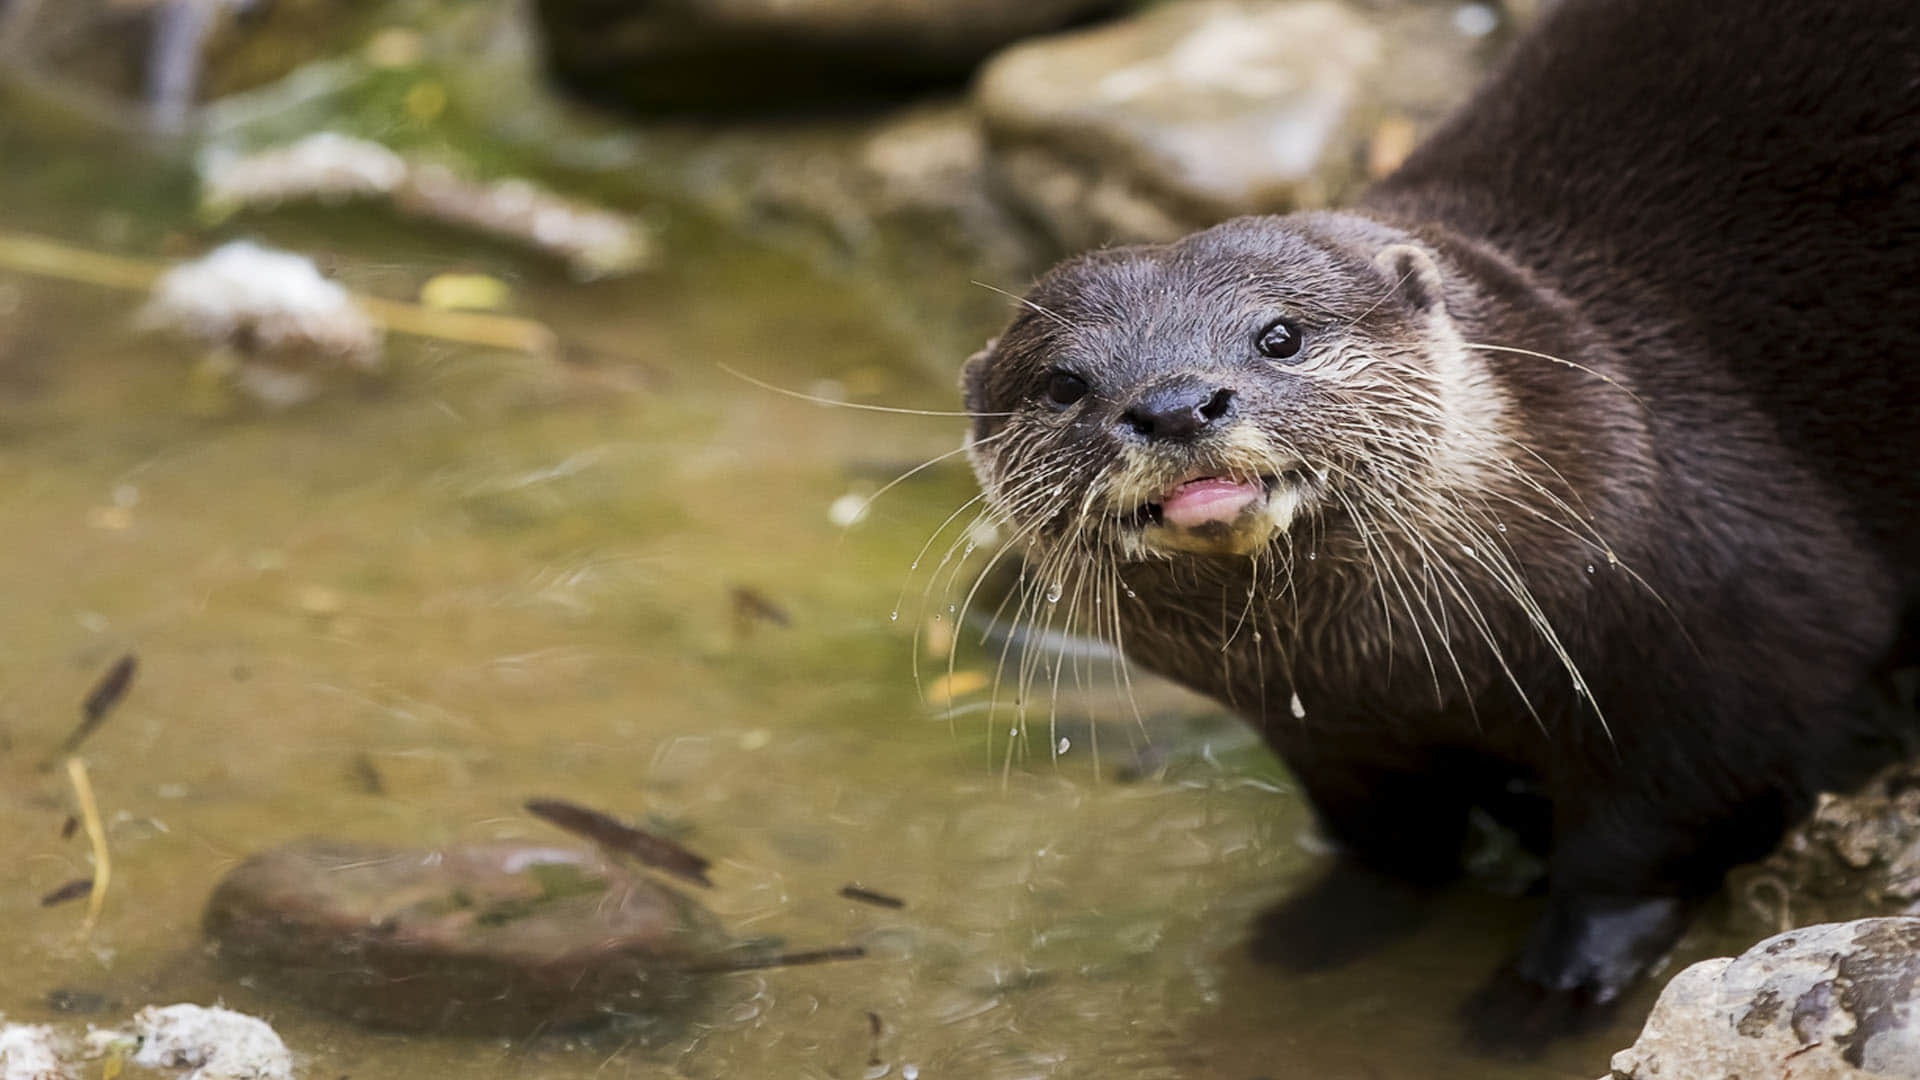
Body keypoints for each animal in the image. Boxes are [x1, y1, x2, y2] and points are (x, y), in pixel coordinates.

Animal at [960, 0, 1920, 1051]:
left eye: (1279, 335)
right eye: (1063, 384)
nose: (1174, 404)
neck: (1405, 675)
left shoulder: (1744, 643)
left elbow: (1650, 838)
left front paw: (1554, 984)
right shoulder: (1325, 730)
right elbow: (1389, 838)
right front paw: (1328, 922)